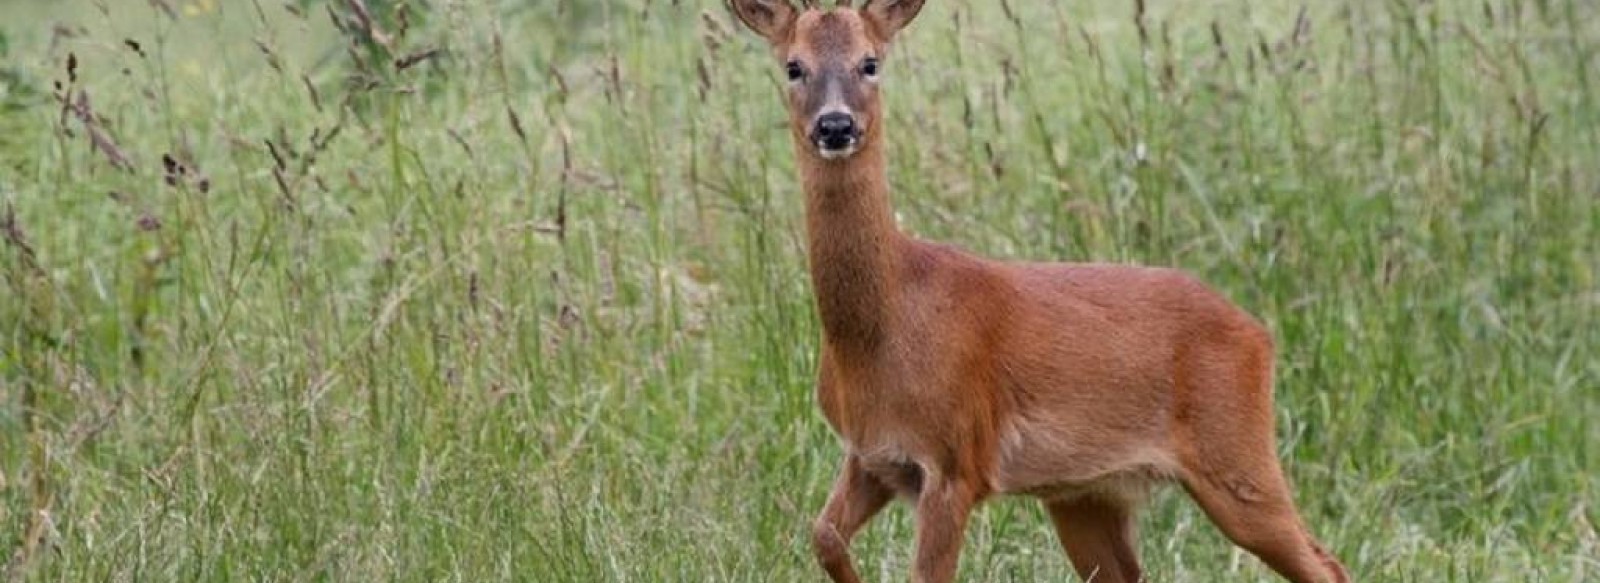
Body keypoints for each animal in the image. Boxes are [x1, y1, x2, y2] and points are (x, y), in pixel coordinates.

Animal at [729, 1, 1350, 583]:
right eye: (794, 66)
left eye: (870, 63)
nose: (835, 126)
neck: (881, 328)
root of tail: (1259, 335)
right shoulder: (872, 456)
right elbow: (823, 535)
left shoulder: (957, 460)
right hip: (1087, 495)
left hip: (1237, 455)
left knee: (1327, 565)